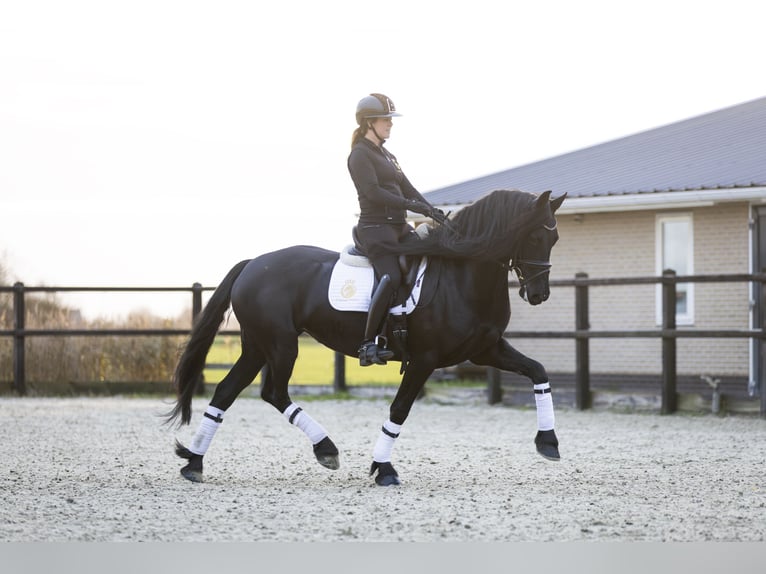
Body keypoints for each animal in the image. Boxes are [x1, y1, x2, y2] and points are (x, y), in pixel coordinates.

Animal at [166, 189, 564, 486]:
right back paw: (326, 449)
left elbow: (539, 371)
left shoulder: (486, 350)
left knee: (226, 392)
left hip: (257, 346)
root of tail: (252, 264)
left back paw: (194, 463)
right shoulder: (425, 359)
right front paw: (384, 469)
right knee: (273, 393)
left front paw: (548, 441)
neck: (462, 274)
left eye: (555, 238)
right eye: (534, 235)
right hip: (281, 345)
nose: (539, 294)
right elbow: (399, 409)